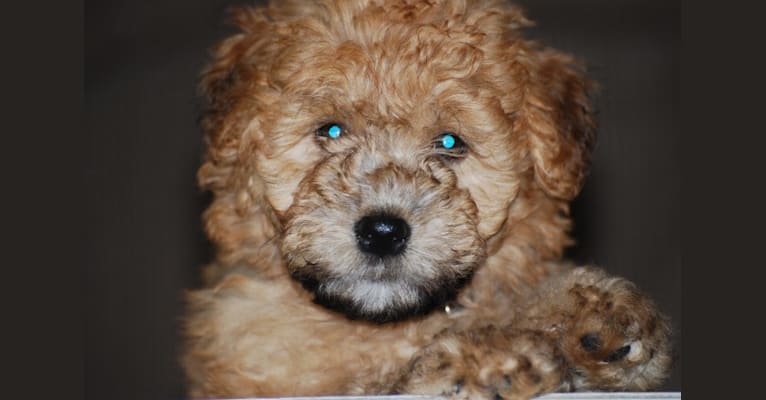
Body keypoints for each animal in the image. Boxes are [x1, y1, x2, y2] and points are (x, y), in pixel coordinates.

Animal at [182, 1, 672, 398]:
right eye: (332, 130)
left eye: (450, 142)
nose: (382, 231)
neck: (384, 326)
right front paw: (483, 359)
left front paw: (591, 315)